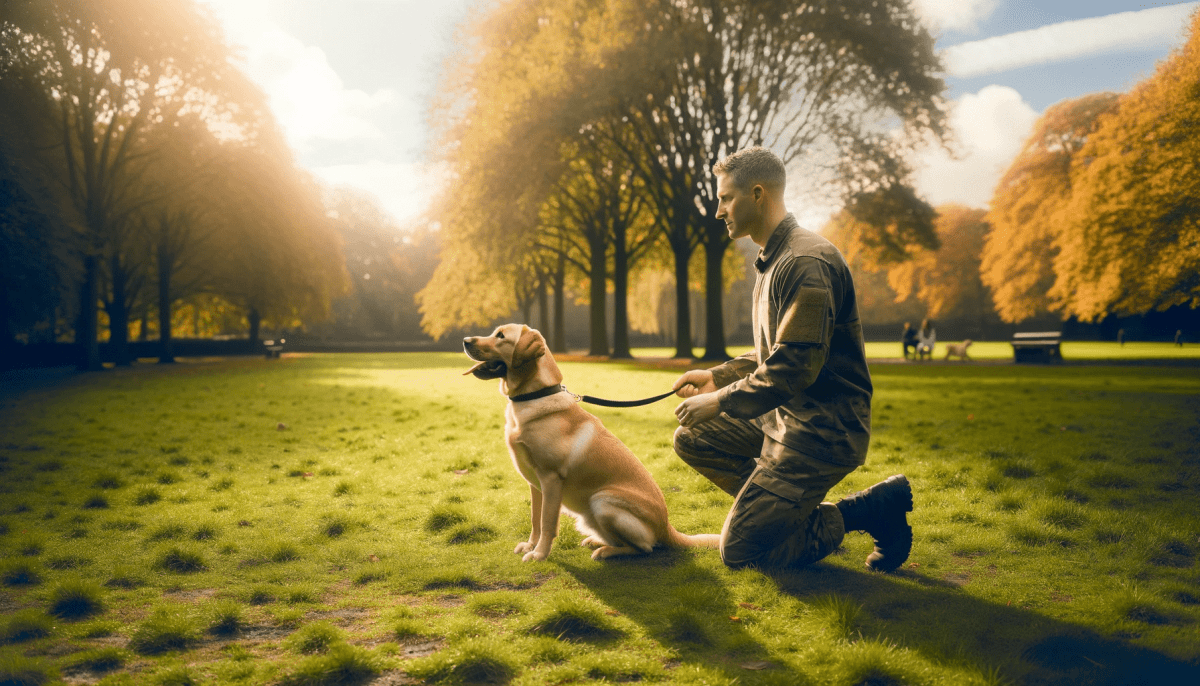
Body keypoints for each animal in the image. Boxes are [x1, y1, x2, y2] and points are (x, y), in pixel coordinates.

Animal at [463, 323, 715, 558]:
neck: (535, 395)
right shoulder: (535, 484)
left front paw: (540, 554)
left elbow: (547, 522)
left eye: (501, 336)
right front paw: (530, 545)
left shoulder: (551, 479)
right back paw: (597, 541)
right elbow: (535, 518)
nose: (465, 340)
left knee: (645, 547)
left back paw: (606, 551)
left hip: (602, 501)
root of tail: (667, 527)